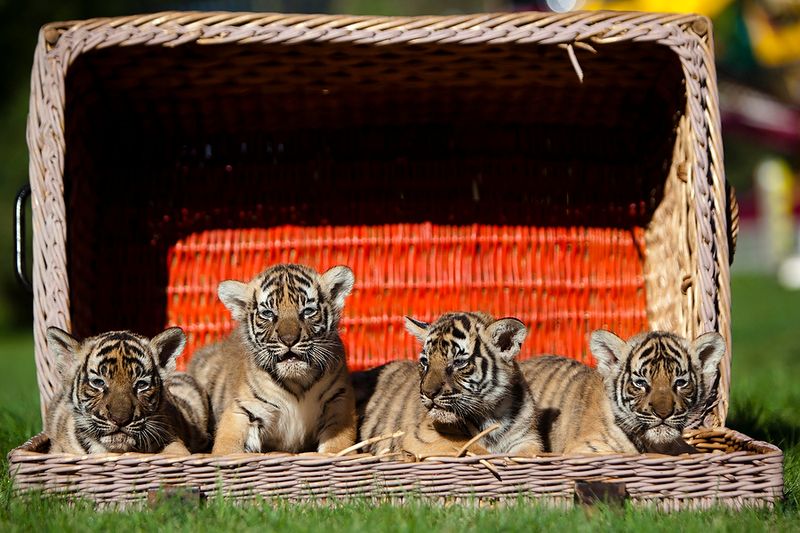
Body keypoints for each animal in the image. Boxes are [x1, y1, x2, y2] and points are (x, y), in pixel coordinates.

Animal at [188, 263, 357, 455]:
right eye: (268, 313)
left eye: (308, 311)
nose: (289, 339)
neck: (297, 383)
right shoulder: (243, 410)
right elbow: (228, 446)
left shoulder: (339, 401)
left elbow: (339, 443)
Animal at [355, 312, 542, 459]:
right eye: (425, 361)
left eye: (459, 362)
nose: (428, 393)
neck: (491, 415)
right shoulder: (423, 436)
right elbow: (471, 447)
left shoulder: (527, 439)